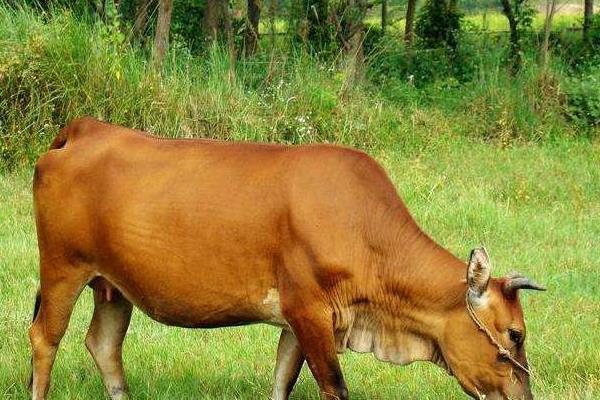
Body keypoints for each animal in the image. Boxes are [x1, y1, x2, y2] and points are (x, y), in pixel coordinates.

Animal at [28, 118, 548, 400]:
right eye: (515, 335)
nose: (524, 395)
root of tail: (85, 129)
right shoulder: (309, 312)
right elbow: (333, 385)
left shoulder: (299, 321)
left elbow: (282, 381)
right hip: (62, 268)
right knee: (45, 339)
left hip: (113, 284)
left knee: (103, 345)